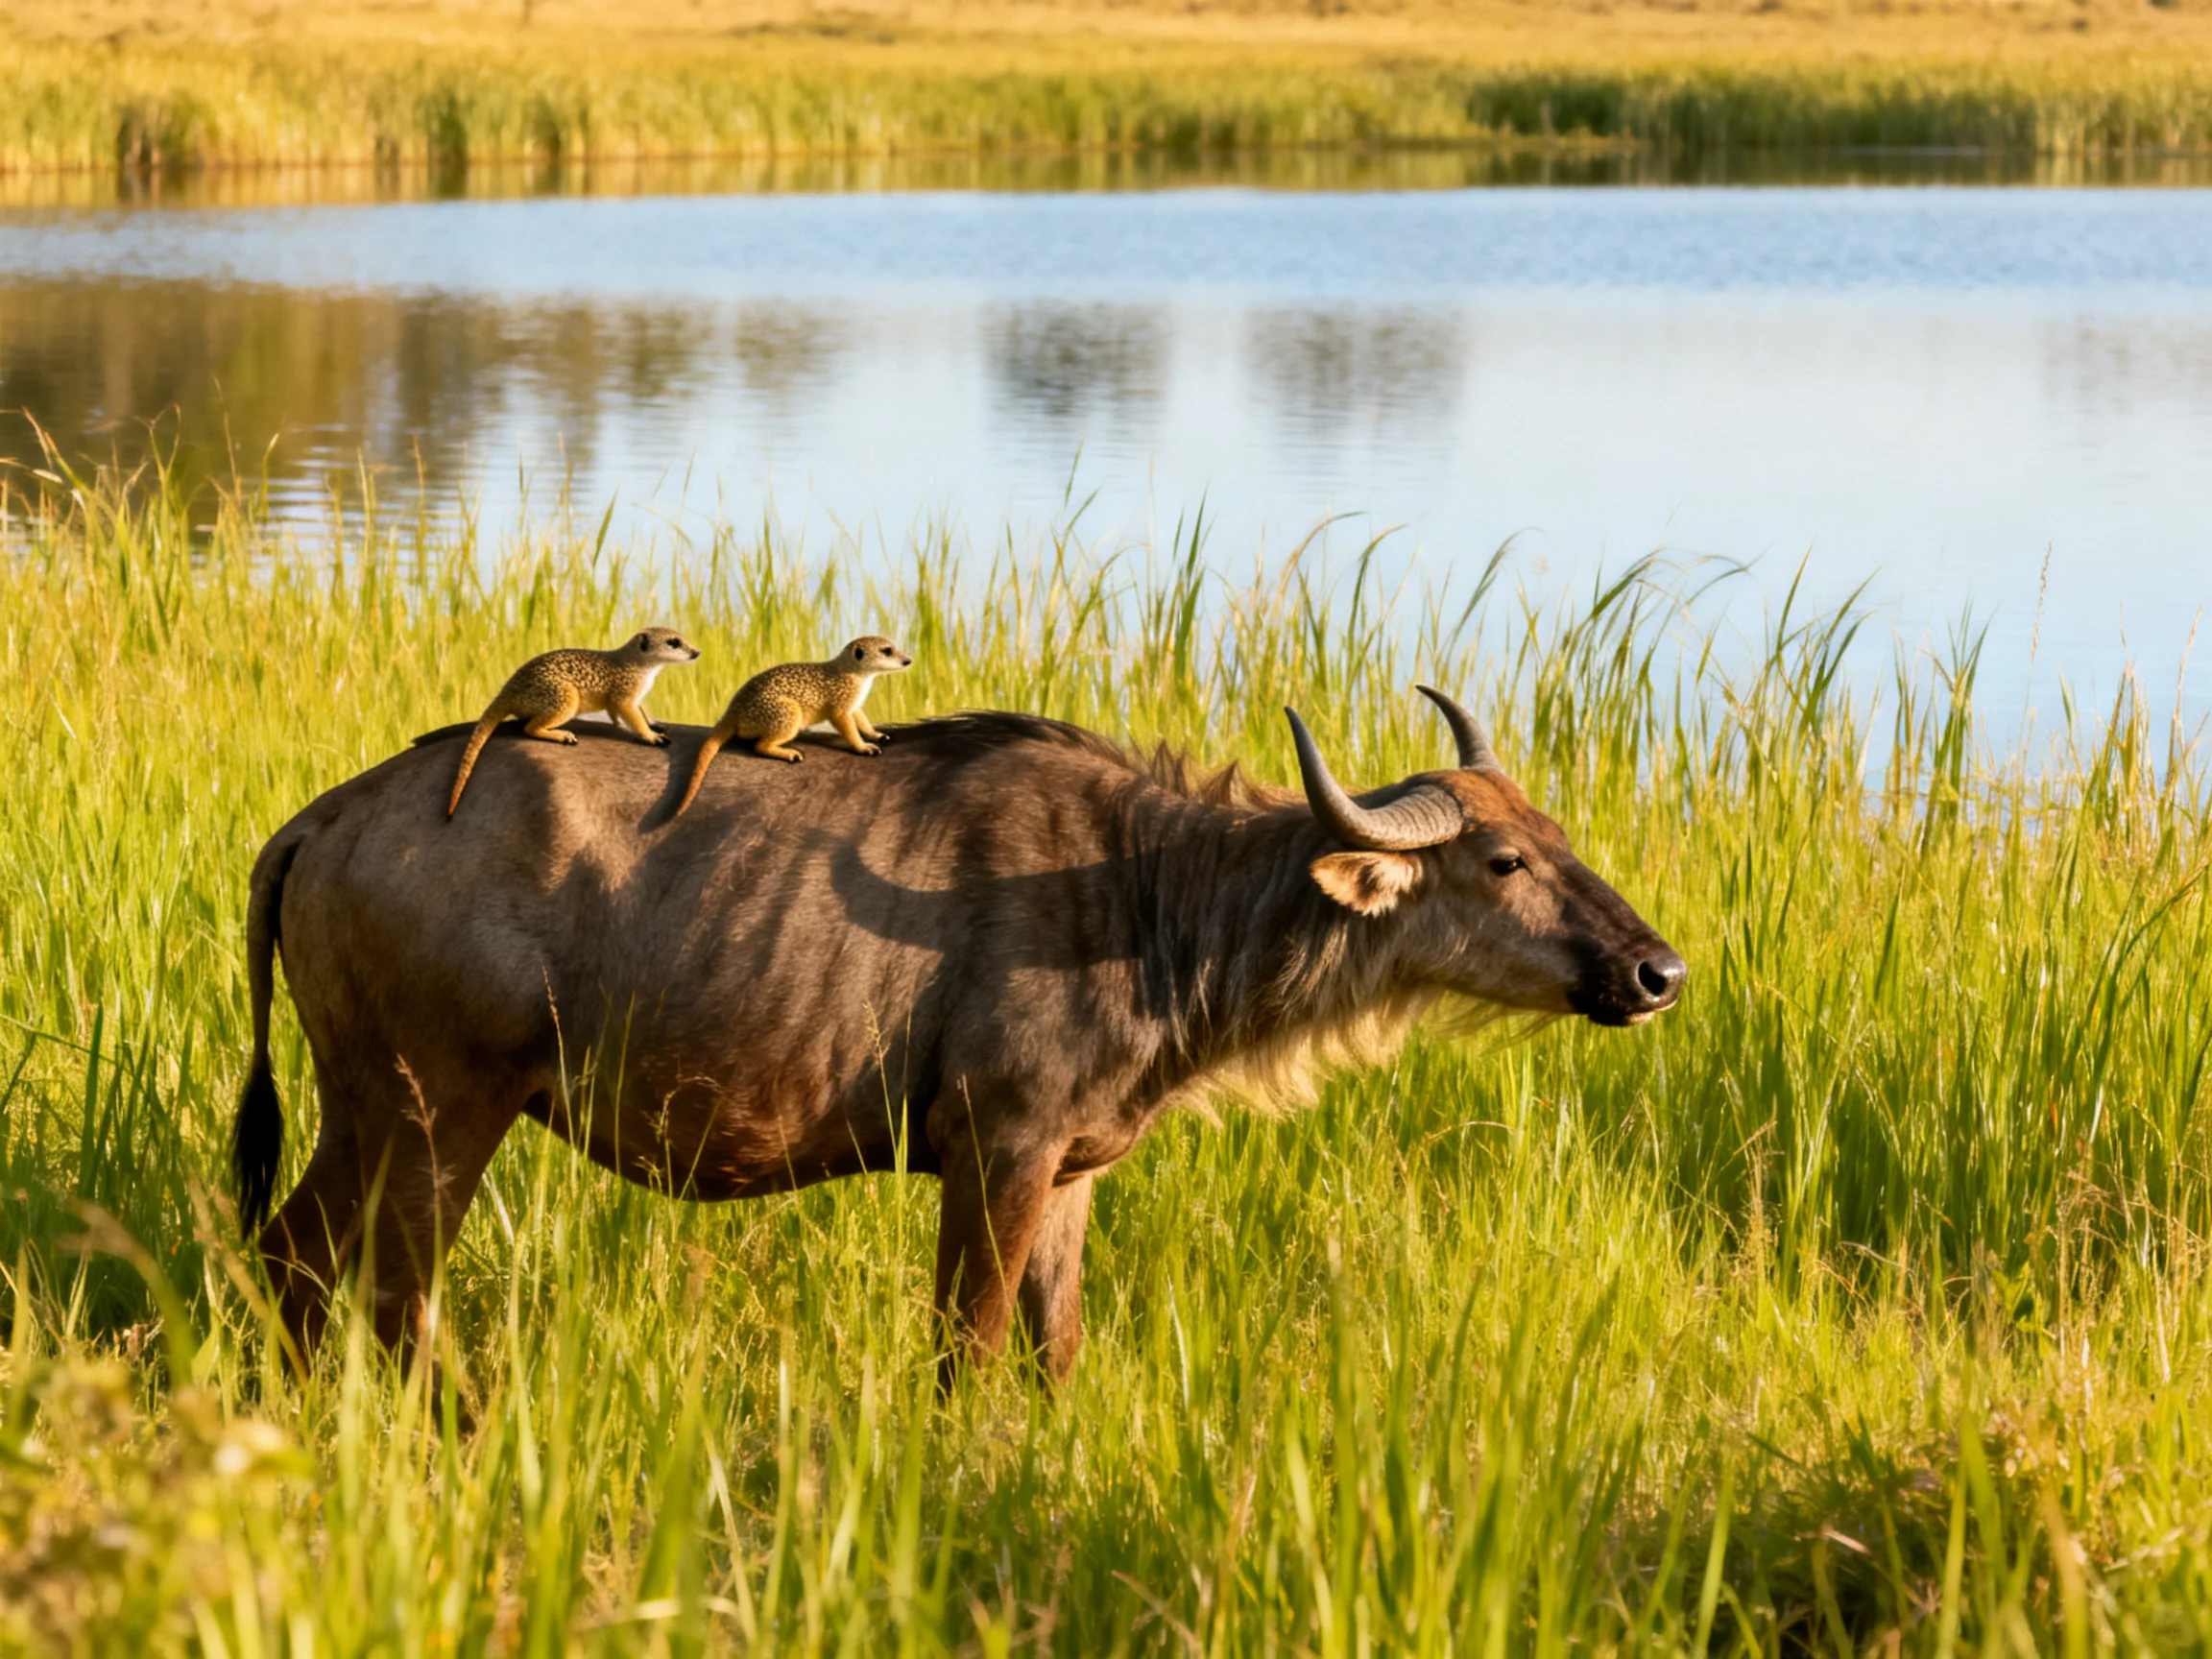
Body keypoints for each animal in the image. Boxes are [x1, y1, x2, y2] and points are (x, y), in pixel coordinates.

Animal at [234, 689, 1683, 1381]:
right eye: (1500, 860)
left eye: (1558, 835)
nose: (1656, 971)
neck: (1146, 893)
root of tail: (327, 817)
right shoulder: (998, 1155)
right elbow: (968, 1351)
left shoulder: (1074, 1174)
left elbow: (1054, 1352)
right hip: (438, 1112)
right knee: (389, 1294)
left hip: (368, 1111)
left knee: (298, 1262)